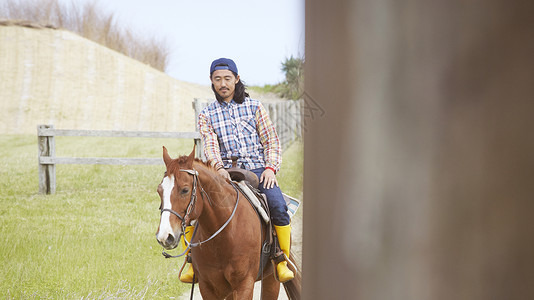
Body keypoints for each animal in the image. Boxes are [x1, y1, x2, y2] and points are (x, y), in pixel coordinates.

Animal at [157, 146, 304, 298]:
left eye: (185, 190)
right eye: (159, 190)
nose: (165, 236)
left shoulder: (244, 285)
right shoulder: (207, 286)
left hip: (271, 280)